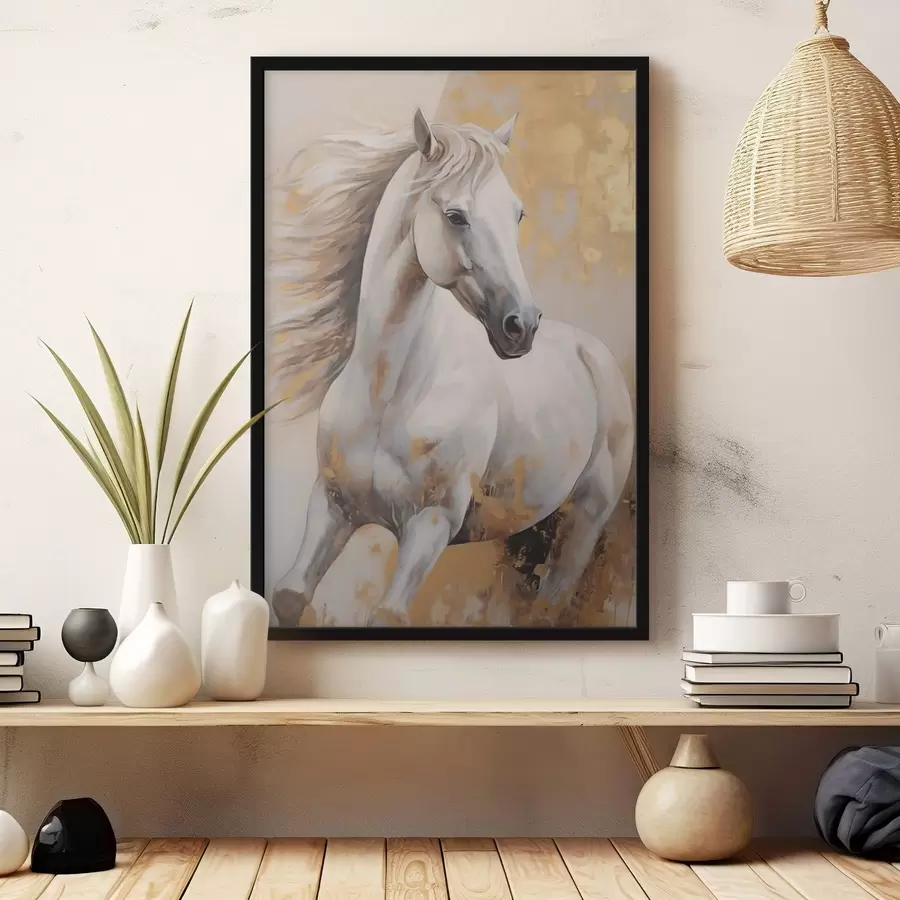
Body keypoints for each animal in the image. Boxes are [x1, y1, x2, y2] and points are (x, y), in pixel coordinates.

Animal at [270, 108, 634, 627]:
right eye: (455, 216)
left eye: (517, 214)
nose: (521, 326)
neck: (391, 394)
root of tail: (595, 355)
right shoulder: (331, 505)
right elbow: (289, 596)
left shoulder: (431, 525)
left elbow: (387, 616)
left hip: (583, 523)